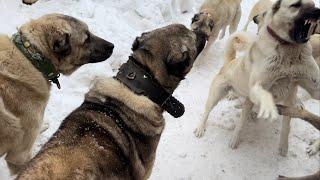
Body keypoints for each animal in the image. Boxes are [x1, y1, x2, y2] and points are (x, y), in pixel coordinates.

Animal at [194, 0, 320, 157]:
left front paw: (283, 147)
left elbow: (286, 126)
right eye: (296, 5)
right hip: (217, 94)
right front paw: (235, 140)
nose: (317, 11)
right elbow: (244, 121)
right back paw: (202, 128)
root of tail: (230, 62)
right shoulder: (256, 87)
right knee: (208, 112)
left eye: (313, 4)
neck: (289, 52)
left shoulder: (306, 89)